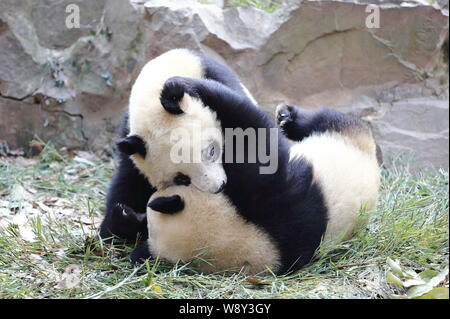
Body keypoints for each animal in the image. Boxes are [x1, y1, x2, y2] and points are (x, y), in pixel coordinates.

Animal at [100, 48, 258, 242]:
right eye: (181, 178)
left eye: (211, 151)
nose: (219, 187)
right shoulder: (130, 137)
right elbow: (127, 182)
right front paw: (124, 217)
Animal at [129, 74, 380, 276]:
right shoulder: (273, 208)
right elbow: (257, 136)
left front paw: (177, 88)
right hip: (346, 138)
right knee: (331, 120)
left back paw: (287, 117)